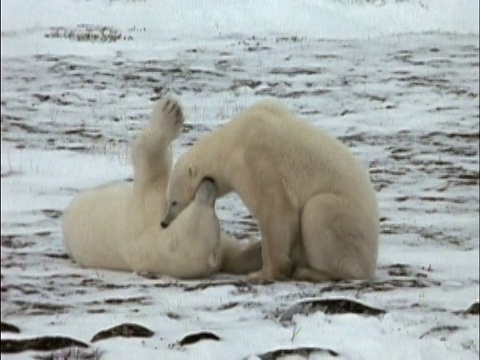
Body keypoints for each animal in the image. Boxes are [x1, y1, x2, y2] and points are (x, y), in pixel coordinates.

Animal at [160, 98, 378, 282]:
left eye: (173, 201)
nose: (164, 222)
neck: (231, 140)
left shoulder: (255, 158)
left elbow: (276, 210)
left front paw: (264, 272)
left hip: (349, 221)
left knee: (319, 211)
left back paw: (310, 271)